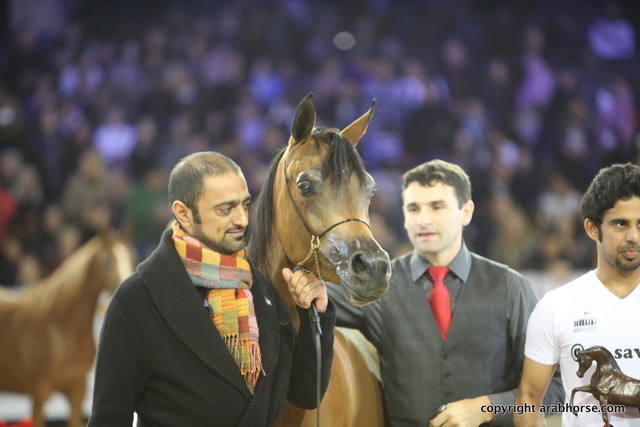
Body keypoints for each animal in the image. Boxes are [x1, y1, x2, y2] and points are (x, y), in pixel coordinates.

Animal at [0, 230, 136, 427]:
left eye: (132, 256)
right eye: (105, 260)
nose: (124, 283)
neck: (61, 329)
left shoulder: (76, 392)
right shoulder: (39, 394)